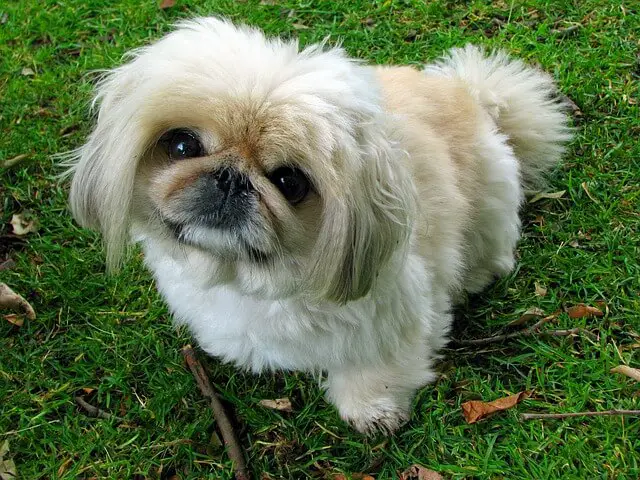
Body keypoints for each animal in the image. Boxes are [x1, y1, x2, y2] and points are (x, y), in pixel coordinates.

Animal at [67, 16, 572, 434]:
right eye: (181, 146)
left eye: (289, 182)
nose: (229, 177)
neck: (251, 280)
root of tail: (470, 95)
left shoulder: (394, 311)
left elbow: (378, 368)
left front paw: (372, 410)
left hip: (491, 199)